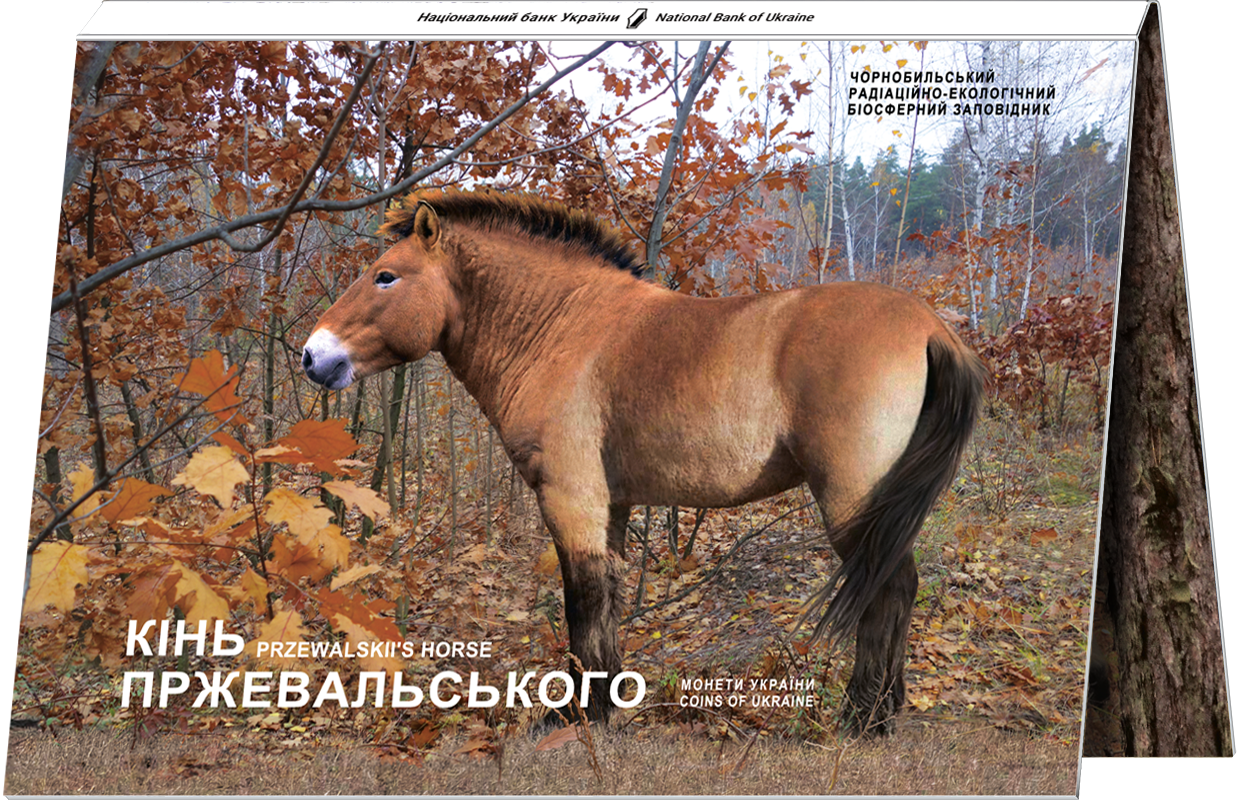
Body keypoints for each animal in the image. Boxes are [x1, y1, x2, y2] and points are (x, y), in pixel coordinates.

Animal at [302, 188, 987, 736]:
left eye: (386, 276)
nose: (314, 356)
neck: (564, 329)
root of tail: (931, 326)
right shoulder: (611, 505)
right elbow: (603, 596)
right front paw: (604, 705)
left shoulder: (570, 496)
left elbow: (580, 599)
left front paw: (575, 716)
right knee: (900, 587)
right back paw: (885, 709)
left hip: (852, 500)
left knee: (886, 587)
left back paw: (862, 718)